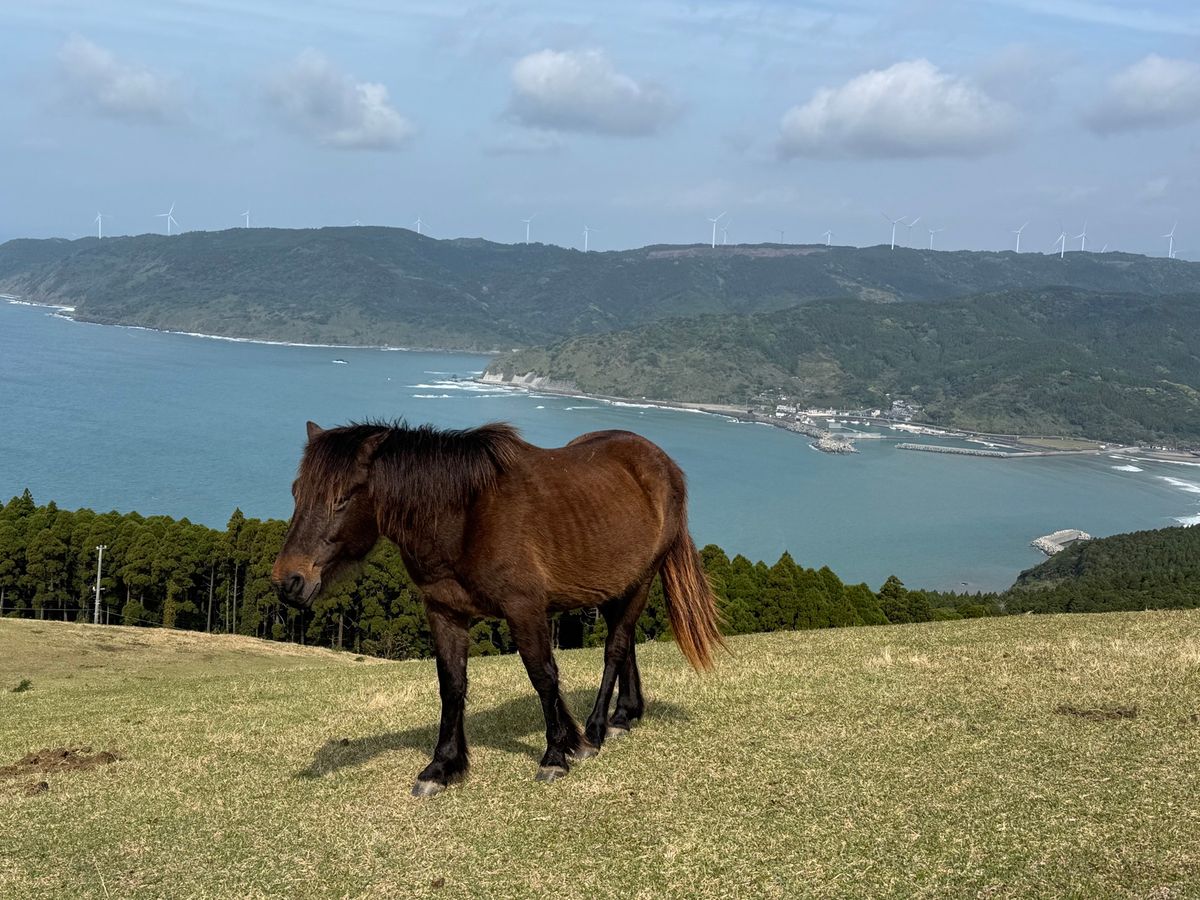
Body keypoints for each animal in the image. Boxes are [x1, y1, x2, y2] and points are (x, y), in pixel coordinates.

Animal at [271, 420, 724, 797]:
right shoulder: (445, 613)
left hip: (642, 579)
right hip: (617, 585)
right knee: (625, 642)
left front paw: (558, 754)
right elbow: (452, 686)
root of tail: (661, 462)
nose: (288, 580)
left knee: (614, 649)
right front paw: (442, 766)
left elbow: (543, 677)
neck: (464, 516)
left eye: (342, 499)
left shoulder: (525, 610)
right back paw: (623, 716)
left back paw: (596, 728)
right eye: (295, 492)